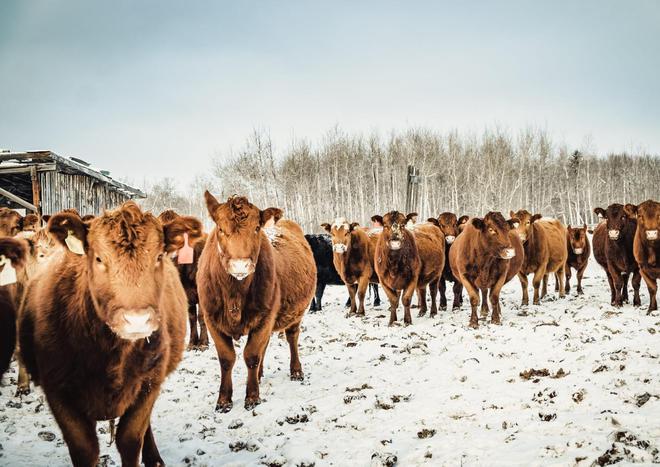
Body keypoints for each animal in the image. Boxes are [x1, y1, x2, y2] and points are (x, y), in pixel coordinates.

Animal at [19, 203, 202, 466]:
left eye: (159, 257)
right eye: (98, 258)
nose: (137, 319)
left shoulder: (148, 385)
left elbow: (131, 439)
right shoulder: (58, 391)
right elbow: (85, 449)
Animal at [197, 194, 316, 414]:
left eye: (257, 228)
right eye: (220, 229)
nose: (240, 265)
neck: (234, 295)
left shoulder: (265, 317)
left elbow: (251, 355)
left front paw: (252, 396)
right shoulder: (212, 320)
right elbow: (227, 359)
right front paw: (224, 400)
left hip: (296, 314)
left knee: (292, 337)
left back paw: (296, 371)